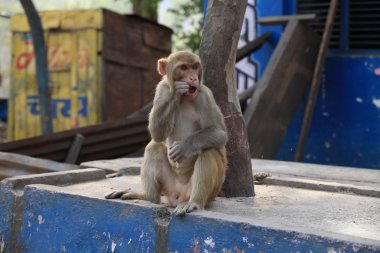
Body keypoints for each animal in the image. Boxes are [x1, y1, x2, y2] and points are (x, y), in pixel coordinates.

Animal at [105, 50, 227, 216]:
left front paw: (185, 147)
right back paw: (147, 197)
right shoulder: (162, 89)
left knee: (209, 152)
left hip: (204, 193)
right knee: (154, 146)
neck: (185, 99)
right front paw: (175, 92)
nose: (193, 78)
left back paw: (194, 202)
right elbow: (157, 134)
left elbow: (220, 133)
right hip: (169, 188)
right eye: (184, 67)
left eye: (195, 67)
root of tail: (178, 197)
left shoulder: (205, 96)